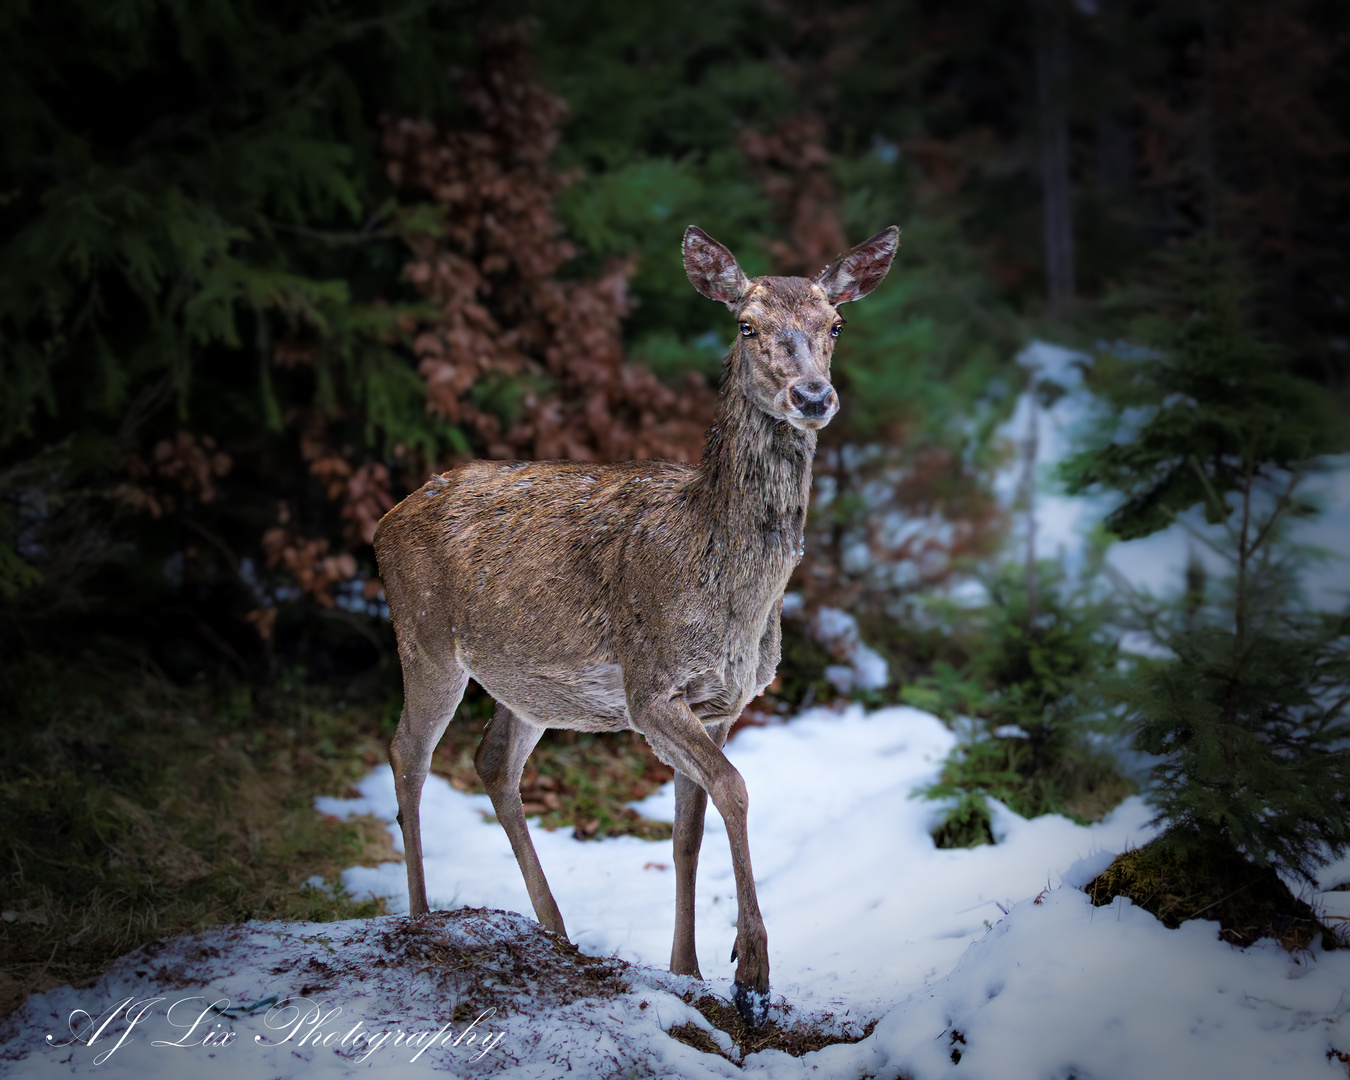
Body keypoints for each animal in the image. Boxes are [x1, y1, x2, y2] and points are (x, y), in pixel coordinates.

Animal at [375, 224, 896, 1026]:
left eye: (835, 324)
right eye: (746, 326)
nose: (812, 395)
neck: (735, 595)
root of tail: (382, 523)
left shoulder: (722, 704)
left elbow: (688, 831)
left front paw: (690, 969)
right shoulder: (651, 686)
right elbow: (737, 790)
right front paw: (753, 972)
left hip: (528, 685)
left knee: (492, 763)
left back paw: (555, 933)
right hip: (424, 636)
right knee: (408, 753)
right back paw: (423, 917)